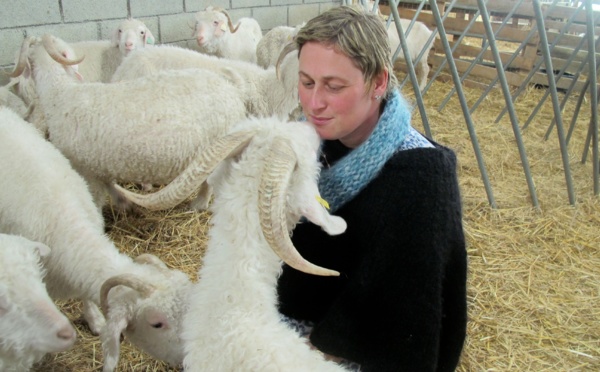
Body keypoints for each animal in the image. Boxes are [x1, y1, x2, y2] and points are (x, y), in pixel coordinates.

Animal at [7, 34, 246, 212]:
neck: (60, 94)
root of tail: (232, 91)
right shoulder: (99, 167)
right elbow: (110, 187)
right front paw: (125, 203)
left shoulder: (85, 168)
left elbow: (95, 200)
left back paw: (199, 205)